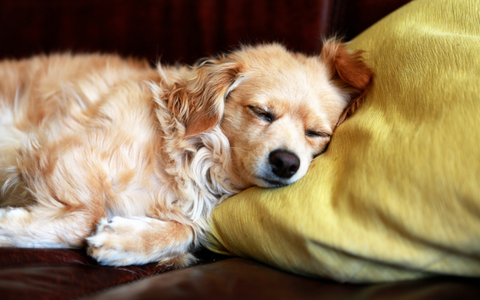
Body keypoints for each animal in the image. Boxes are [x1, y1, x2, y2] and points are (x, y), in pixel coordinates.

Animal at [0, 39, 374, 264]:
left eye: (317, 134)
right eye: (261, 112)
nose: (286, 163)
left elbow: (187, 230)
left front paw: (125, 240)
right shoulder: (66, 150)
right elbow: (87, 215)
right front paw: (9, 226)